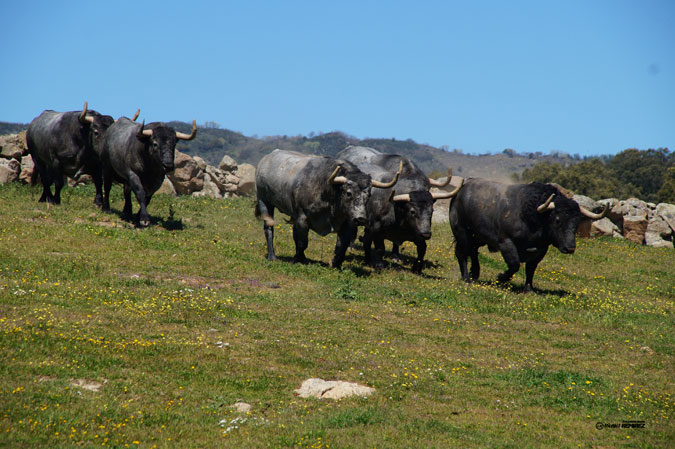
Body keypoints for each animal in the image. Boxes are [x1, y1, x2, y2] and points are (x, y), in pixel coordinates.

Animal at [448, 180, 608, 292]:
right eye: (558, 220)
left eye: (577, 222)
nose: (570, 248)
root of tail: (460, 191)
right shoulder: (506, 242)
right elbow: (514, 264)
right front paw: (501, 278)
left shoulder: (541, 250)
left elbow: (530, 269)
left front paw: (529, 289)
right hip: (462, 234)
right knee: (462, 254)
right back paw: (466, 278)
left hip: (477, 238)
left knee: (473, 253)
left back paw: (474, 274)